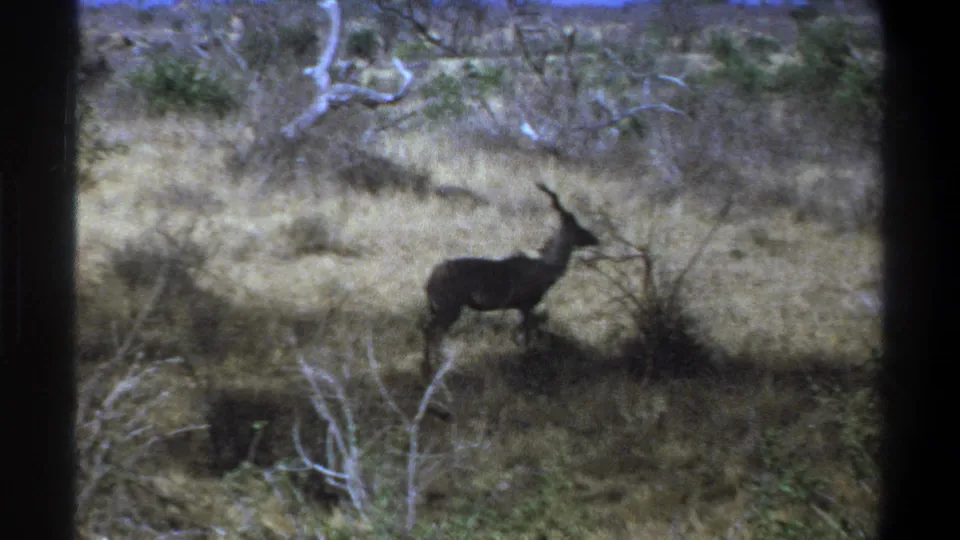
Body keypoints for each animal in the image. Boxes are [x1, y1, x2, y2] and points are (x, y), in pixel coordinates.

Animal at [421, 183, 600, 382]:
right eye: (578, 228)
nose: (596, 239)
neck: (545, 267)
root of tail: (429, 282)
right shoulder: (526, 305)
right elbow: (526, 335)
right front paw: (526, 361)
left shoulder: (521, 308)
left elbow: (521, 334)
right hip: (449, 308)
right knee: (431, 330)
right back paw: (431, 369)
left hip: (443, 308)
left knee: (431, 330)